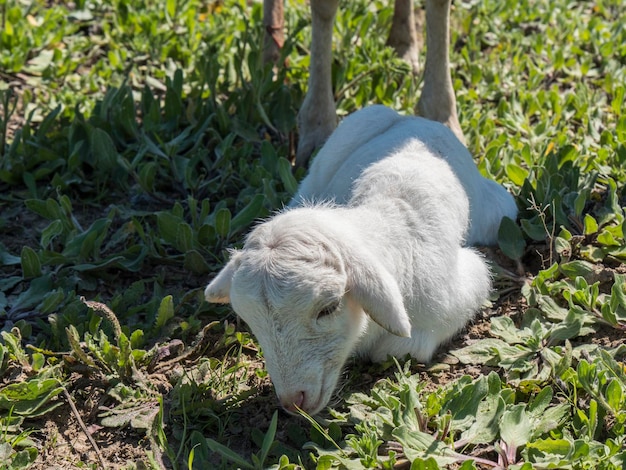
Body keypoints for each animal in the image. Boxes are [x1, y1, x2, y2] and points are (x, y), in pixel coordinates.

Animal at [205, 107, 516, 414]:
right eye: (250, 320)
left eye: (329, 308)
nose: (294, 401)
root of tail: (412, 119)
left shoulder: (461, 286)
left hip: (500, 210)